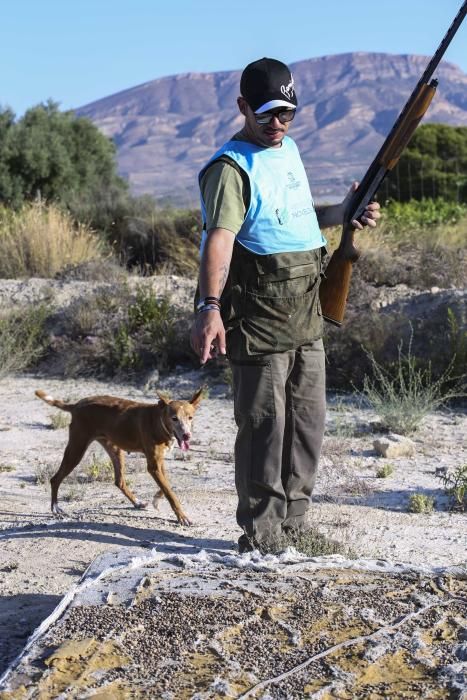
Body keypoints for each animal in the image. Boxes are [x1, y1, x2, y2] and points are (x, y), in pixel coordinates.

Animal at [35, 388, 204, 524]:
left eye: (190, 417)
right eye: (174, 418)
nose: (187, 435)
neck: (159, 421)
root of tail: (77, 405)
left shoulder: (159, 462)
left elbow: (167, 486)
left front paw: (156, 500)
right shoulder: (153, 466)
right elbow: (170, 493)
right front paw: (182, 517)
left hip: (115, 450)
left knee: (119, 481)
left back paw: (137, 502)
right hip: (76, 450)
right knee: (55, 479)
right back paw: (56, 509)